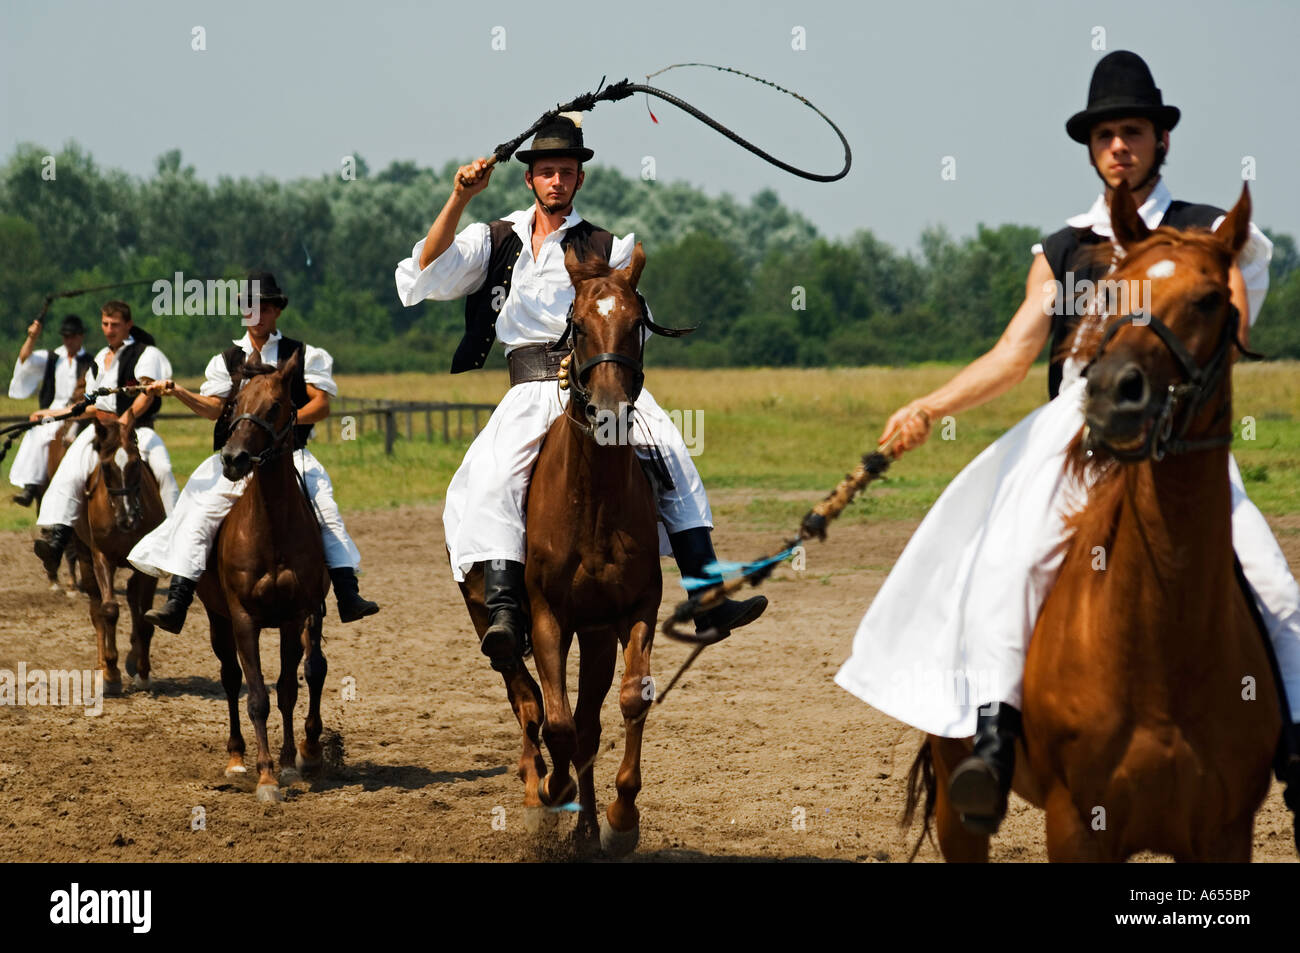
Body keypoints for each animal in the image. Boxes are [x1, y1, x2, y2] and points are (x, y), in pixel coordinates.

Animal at [74, 421, 162, 696]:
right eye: (105, 467)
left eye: (136, 463)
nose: (127, 519)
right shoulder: (102, 557)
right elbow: (109, 610)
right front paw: (112, 674)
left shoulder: (146, 564)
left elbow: (144, 617)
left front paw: (143, 672)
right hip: (85, 557)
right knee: (96, 608)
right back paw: (103, 665)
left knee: (133, 597)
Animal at [197, 348, 332, 795]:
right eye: (235, 402)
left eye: (275, 407)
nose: (234, 459)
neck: (271, 528)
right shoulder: (243, 619)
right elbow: (256, 696)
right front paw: (266, 775)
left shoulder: (294, 616)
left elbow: (289, 688)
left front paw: (289, 763)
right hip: (218, 619)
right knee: (230, 677)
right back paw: (237, 758)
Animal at [457, 245, 665, 852]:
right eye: (579, 324)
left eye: (636, 323)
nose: (609, 412)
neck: (593, 502)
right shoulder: (548, 617)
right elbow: (556, 723)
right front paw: (550, 793)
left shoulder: (634, 609)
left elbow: (627, 702)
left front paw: (619, 821)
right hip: (488, 620)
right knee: (526, 700)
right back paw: (539, 792)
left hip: (594, 636)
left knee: (585, 723)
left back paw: (587, 826)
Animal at [909, 182, 1284, 858]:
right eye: (1114, 291)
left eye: (1211, 298)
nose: (1114, 394)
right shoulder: (1079, 825)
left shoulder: (1223, 831)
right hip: (957, 801)